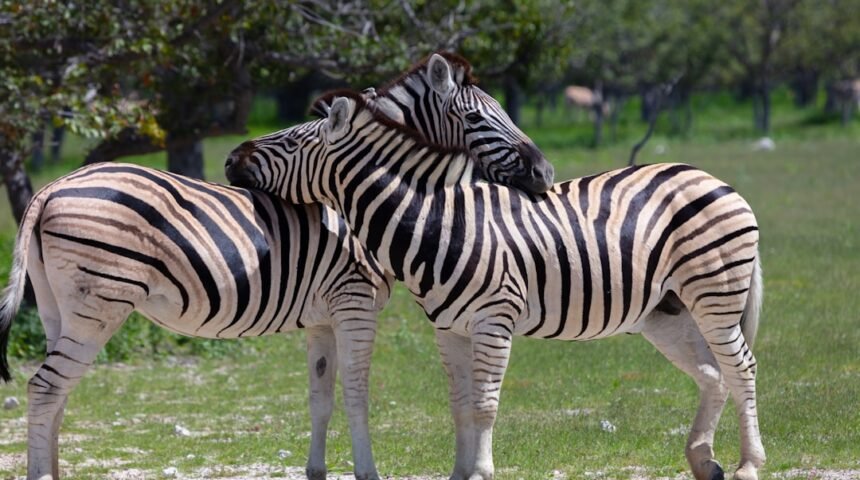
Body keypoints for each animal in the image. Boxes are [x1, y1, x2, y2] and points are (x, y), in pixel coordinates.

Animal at [0, 53, 553, 480]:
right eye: (481, 121)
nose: (546, 174)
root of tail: (51, 188)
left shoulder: (323, 317)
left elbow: (320, 397)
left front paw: (316, 471)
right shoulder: (354, 302)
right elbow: (357, 393)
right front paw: (367, 471)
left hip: (57, 309)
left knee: (57, 393)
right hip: (101, 303)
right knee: (46, 387)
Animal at [225, 91, 766, 480]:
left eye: (293, 142)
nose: (230, 159)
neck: (437, 222)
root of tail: (711, 177)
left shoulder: (493, 322)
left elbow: (485, 407)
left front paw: (482, 472)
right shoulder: (449, 329)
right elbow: (460, 407)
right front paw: (459, 474)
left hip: (715, 292)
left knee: (741, 368)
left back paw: (748, 466)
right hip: (666, 313)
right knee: (713, 374)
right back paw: (703, 461)